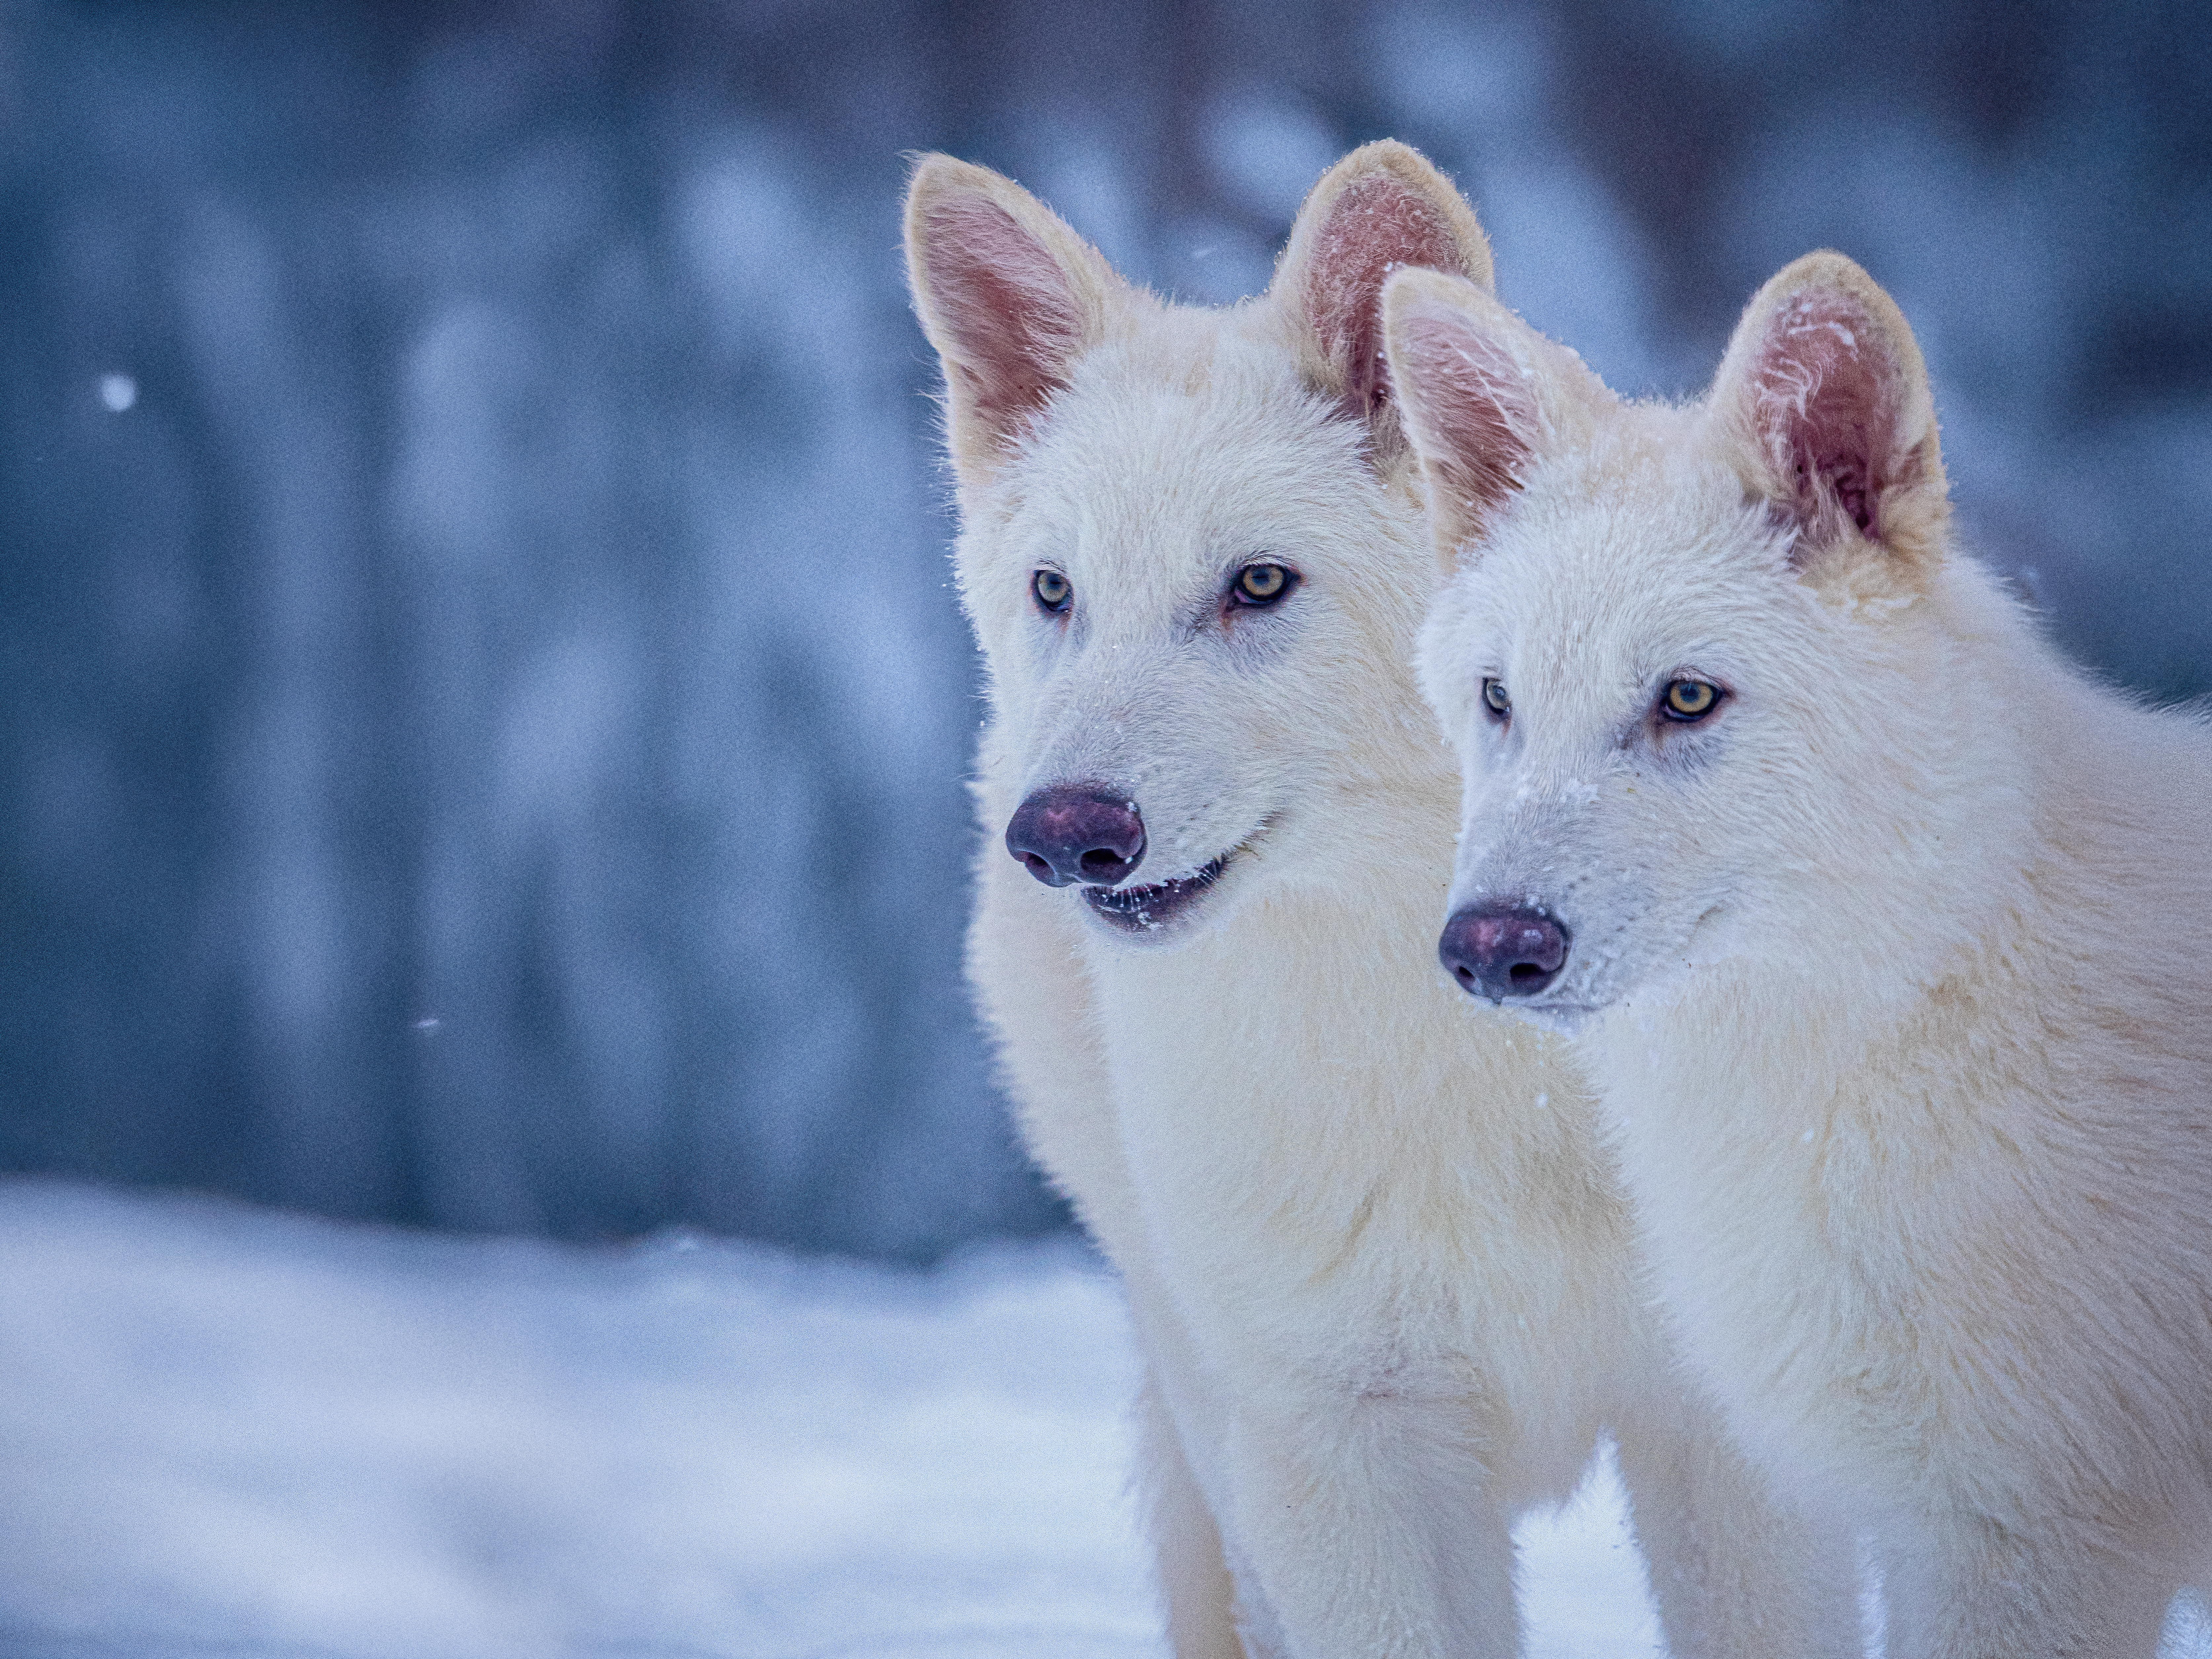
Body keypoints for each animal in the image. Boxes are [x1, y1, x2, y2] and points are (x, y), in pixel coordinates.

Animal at [902, 142, 1854, 1658]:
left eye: (1257, 584)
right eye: (1056, 591)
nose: (1062, 836)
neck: (1470, 1064)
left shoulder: (1725, 1440)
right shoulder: (1336, 1453)